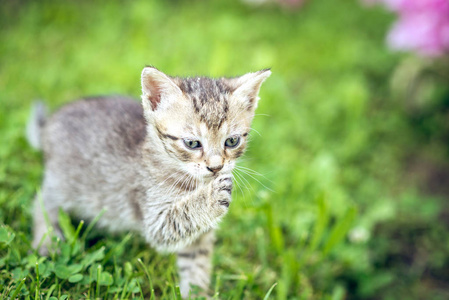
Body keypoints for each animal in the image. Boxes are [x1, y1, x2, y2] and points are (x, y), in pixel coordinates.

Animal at [27, 66, 270, 298]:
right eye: (192, 143)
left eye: (232, 141)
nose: (216, 167)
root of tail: (49, 123)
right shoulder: (153, 217)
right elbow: (179, 217)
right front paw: (211, 197)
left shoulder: (200, 236)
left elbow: (196, 264)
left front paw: (197, 294)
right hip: (62, 183)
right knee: (40, 201)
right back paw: (47, 241)